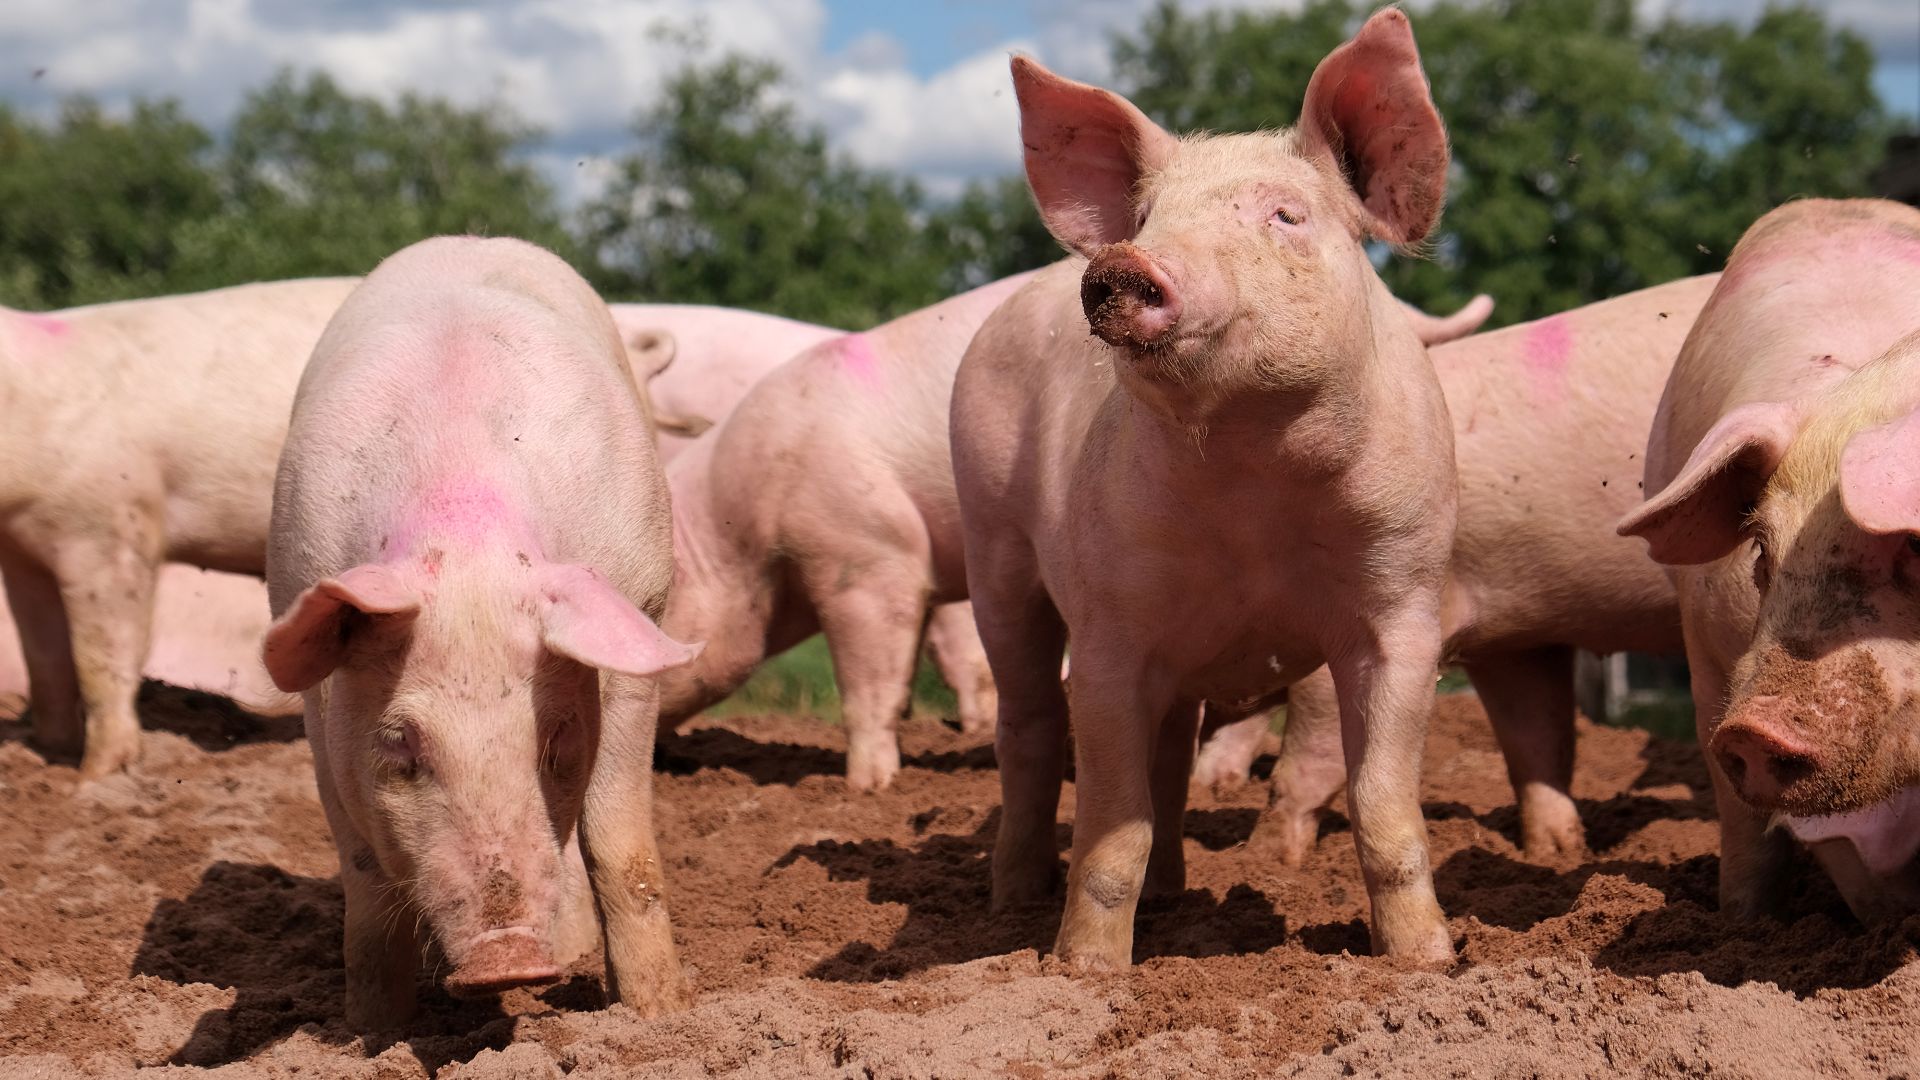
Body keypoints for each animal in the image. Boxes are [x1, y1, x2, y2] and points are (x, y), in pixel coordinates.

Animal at [0, 278, 360, 776]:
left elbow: (101, 659)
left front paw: (95, 777)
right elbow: (44, 660)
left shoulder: (112, 523)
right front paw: (51, 758)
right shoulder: (22, 551)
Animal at [262, 235, 698, 1028]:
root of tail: (472, 238)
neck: (465, 527)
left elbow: (620, 845)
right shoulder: (315, 685)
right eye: (399, 744)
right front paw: (370, 1031)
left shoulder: (636, 613)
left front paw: (657, 1016)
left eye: (555, 739)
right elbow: (363, 874)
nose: (508, 959)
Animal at [951, 10, 1463, 968]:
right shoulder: (1109, 628)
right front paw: (1084, 973)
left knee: (1170, 757)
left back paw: (1172, 897)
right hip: (992, 546)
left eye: (1286, 214)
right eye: (1150, 216)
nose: (1122, 263)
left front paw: (1427, 964)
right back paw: (1009, 908)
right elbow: (1110, 827)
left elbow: (1383, 808)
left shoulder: (1405, 605)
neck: (1254, 481)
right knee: (1028, 728)